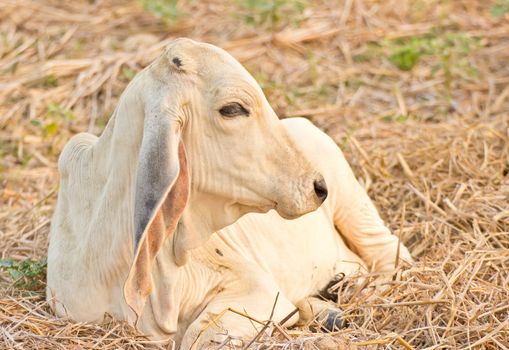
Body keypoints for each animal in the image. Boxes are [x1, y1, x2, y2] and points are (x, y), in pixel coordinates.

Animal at [46, 37, 412, 348]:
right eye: (233, 109)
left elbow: (199, 337)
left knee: (390, 254)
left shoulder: (256, 289)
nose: (318, 187)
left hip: (353, 203)